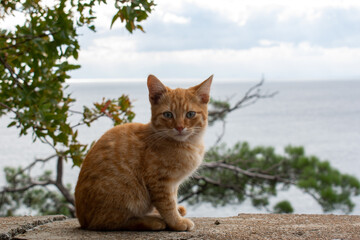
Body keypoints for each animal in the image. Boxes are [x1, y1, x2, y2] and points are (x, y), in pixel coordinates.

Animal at [74, 74, 212, 231]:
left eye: (190, 114)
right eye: (168, 114)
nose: (179, 127)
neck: (188, 145)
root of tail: (83, 221)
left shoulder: (172, 184)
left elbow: (173, 200)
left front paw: (177, 212)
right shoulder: (159, 182)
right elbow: (167, 205)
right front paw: (177, 222)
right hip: (127, 195)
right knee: (111, 222)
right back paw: (152, 221)